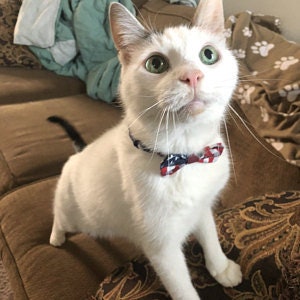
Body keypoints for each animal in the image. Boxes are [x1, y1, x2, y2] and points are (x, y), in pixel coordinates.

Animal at [49, 1, 241, 298]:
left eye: (208, 55)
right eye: (156, 63)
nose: (192, 75)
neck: (186, 155)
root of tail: (78, 153)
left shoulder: (202, 206)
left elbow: (210, 235)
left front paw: (221, 267)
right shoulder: (161, 248)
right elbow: (183, 289)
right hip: (72, 212)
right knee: (59, 216)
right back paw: (56, 238)